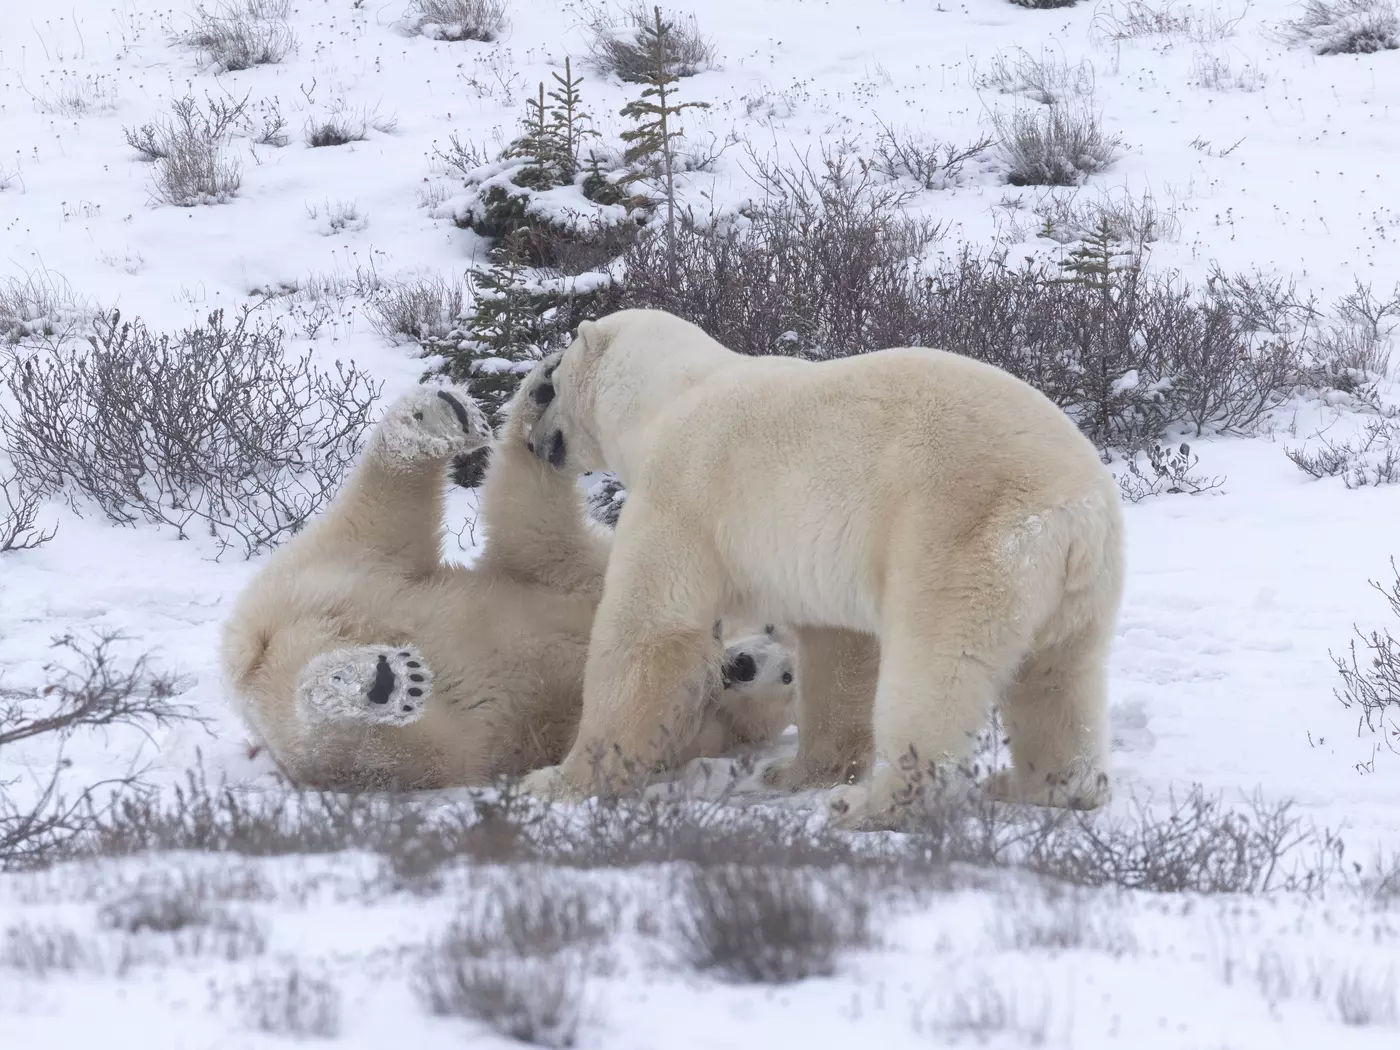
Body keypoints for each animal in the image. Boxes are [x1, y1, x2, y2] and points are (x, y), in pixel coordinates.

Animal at [220, 368, 795, 791]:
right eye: (771, 625)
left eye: (791, 677)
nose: (743, 665)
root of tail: (259, 651)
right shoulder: (599, 570)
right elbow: (538, 530)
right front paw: (543, 398)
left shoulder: (697, 732)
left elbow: (622, 724)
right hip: (343, 568)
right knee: (381, 513)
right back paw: (436, 417)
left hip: (427, 723)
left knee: (376, 746)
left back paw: (375, 683)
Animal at [514, 308, 1125, 830]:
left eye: (552, 383)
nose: (534, 440)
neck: (666, 398)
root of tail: (1075, 511)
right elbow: (838, 650)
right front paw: (794, 771)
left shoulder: (684, 490)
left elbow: (648, 627)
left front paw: (556, 780)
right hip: (1081, 587)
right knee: (1059, 678)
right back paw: (1050, 786)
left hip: (960, 538)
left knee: (935, 673)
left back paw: (871, 805)